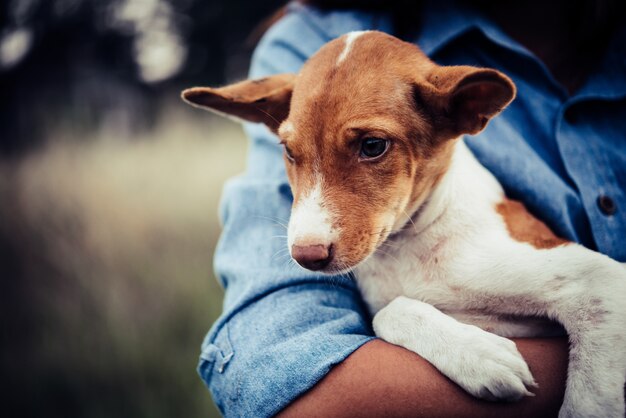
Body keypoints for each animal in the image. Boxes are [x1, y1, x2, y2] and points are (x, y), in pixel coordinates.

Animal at [183, 31, 624, 418]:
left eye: (373, 146)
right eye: (289, 152)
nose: (305, 255)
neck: (412, 247)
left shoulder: (600, 282)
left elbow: (588, 401)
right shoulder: (386, 299)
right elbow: (388, 312)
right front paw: (478, 355)